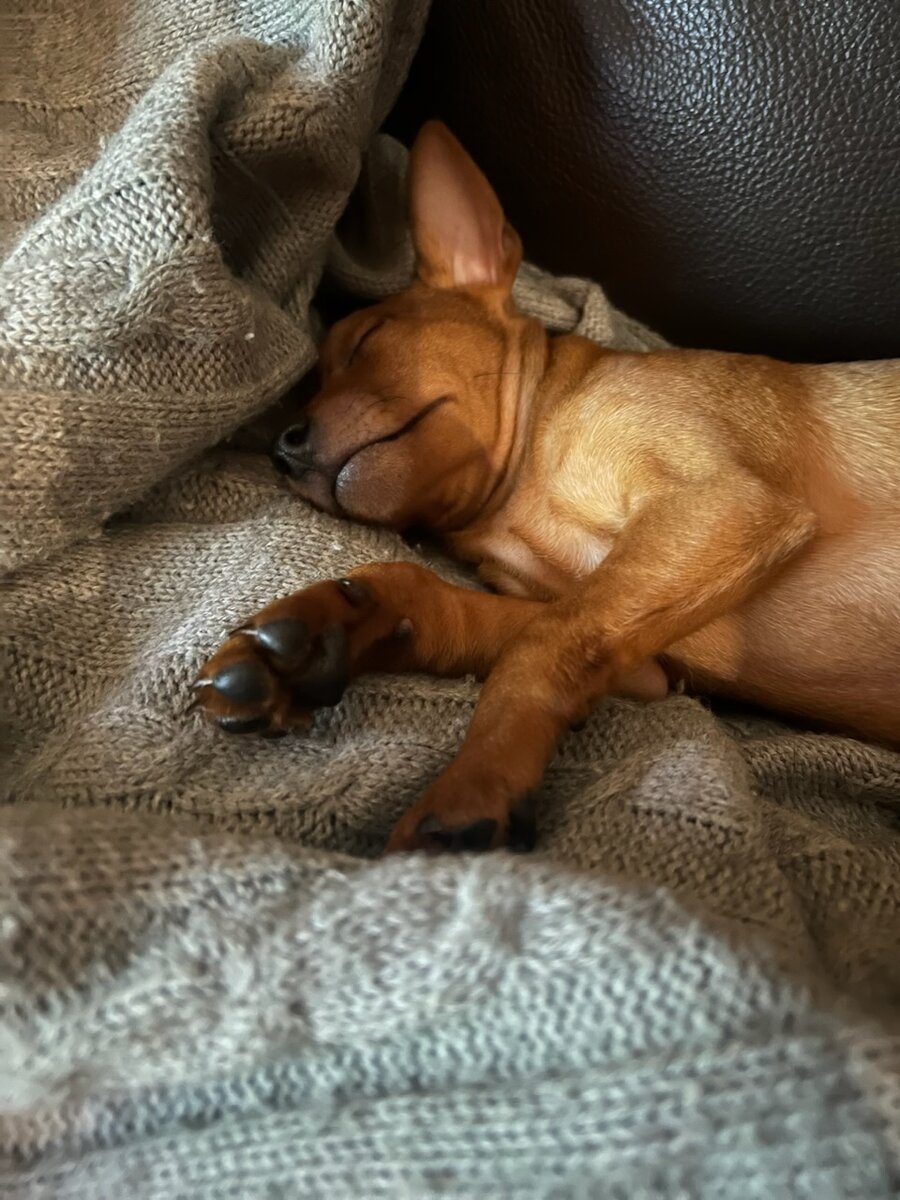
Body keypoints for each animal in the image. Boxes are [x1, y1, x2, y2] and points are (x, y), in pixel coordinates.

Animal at [194, 121, 900, 854]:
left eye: (367, 339)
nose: (283, 447)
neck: (520, 495)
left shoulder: (723, 503)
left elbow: (534, 651)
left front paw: (472, 783)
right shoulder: (644, 664)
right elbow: (468, 614)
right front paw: (329, 628)